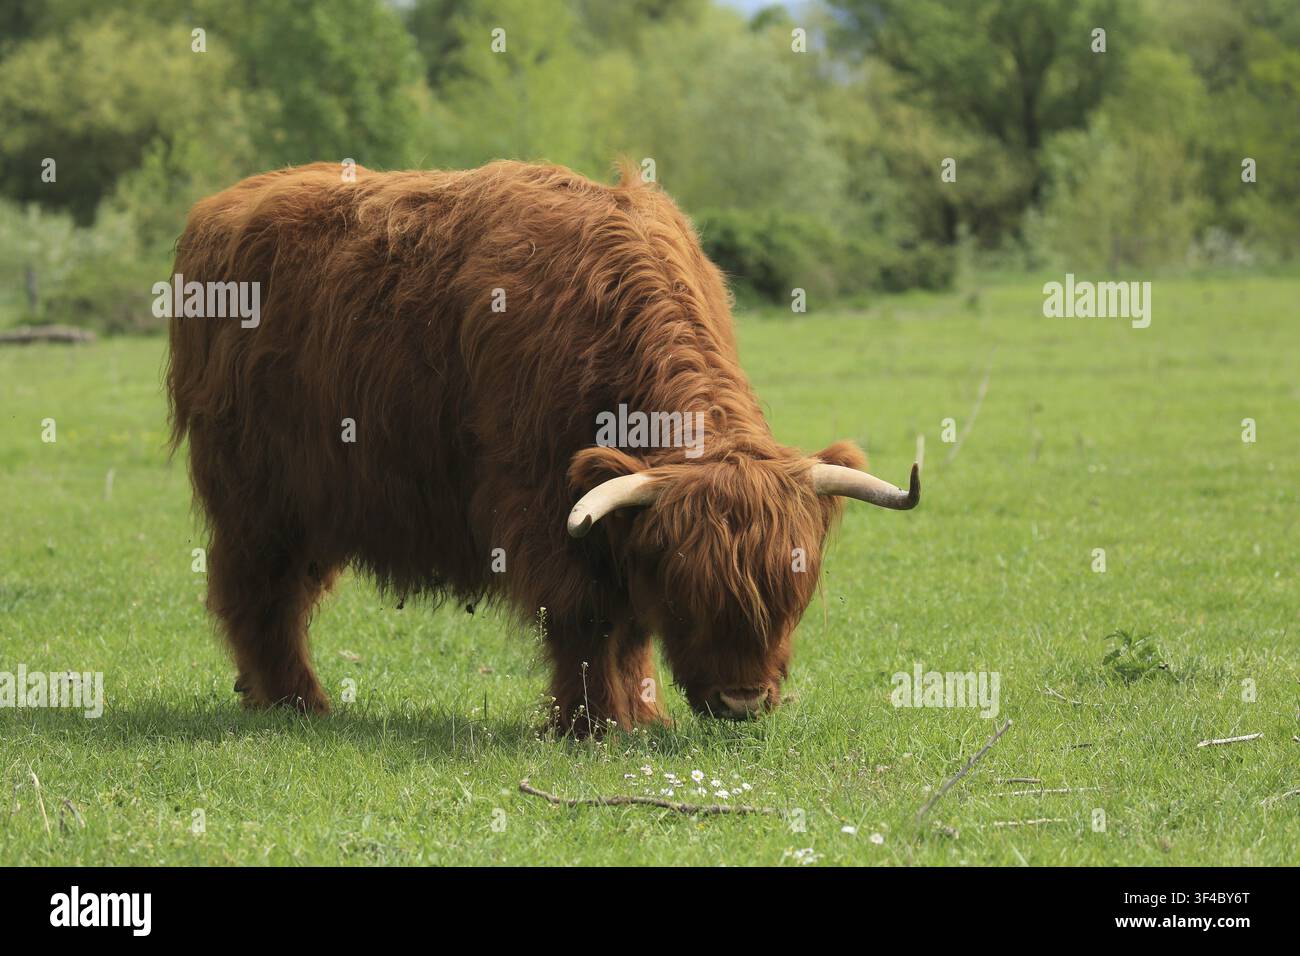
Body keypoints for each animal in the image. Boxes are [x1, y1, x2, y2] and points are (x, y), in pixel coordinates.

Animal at [165, 161, 919, 737]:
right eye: (687, 592)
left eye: (794, 590)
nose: (742, 702)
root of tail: (220, 206)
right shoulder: (540, 504)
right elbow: (585, 617)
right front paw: (593, 726)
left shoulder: (623, 521)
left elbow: (630, 627)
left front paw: (645, 716)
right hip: (257, 496)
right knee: (257, 591)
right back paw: (296, 701)